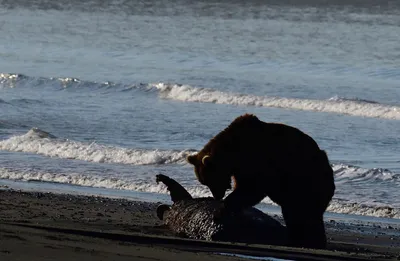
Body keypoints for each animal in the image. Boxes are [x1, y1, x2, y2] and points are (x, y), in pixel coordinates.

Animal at [187, 113, 334, 248]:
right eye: (204, 182)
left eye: (211, 180)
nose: (217, 196)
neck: (233, 153)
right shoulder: (240, 169)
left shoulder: (257, 161)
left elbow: (251, 189)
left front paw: (221, 210)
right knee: (295, 214)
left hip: (305, 180)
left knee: (305, 212)